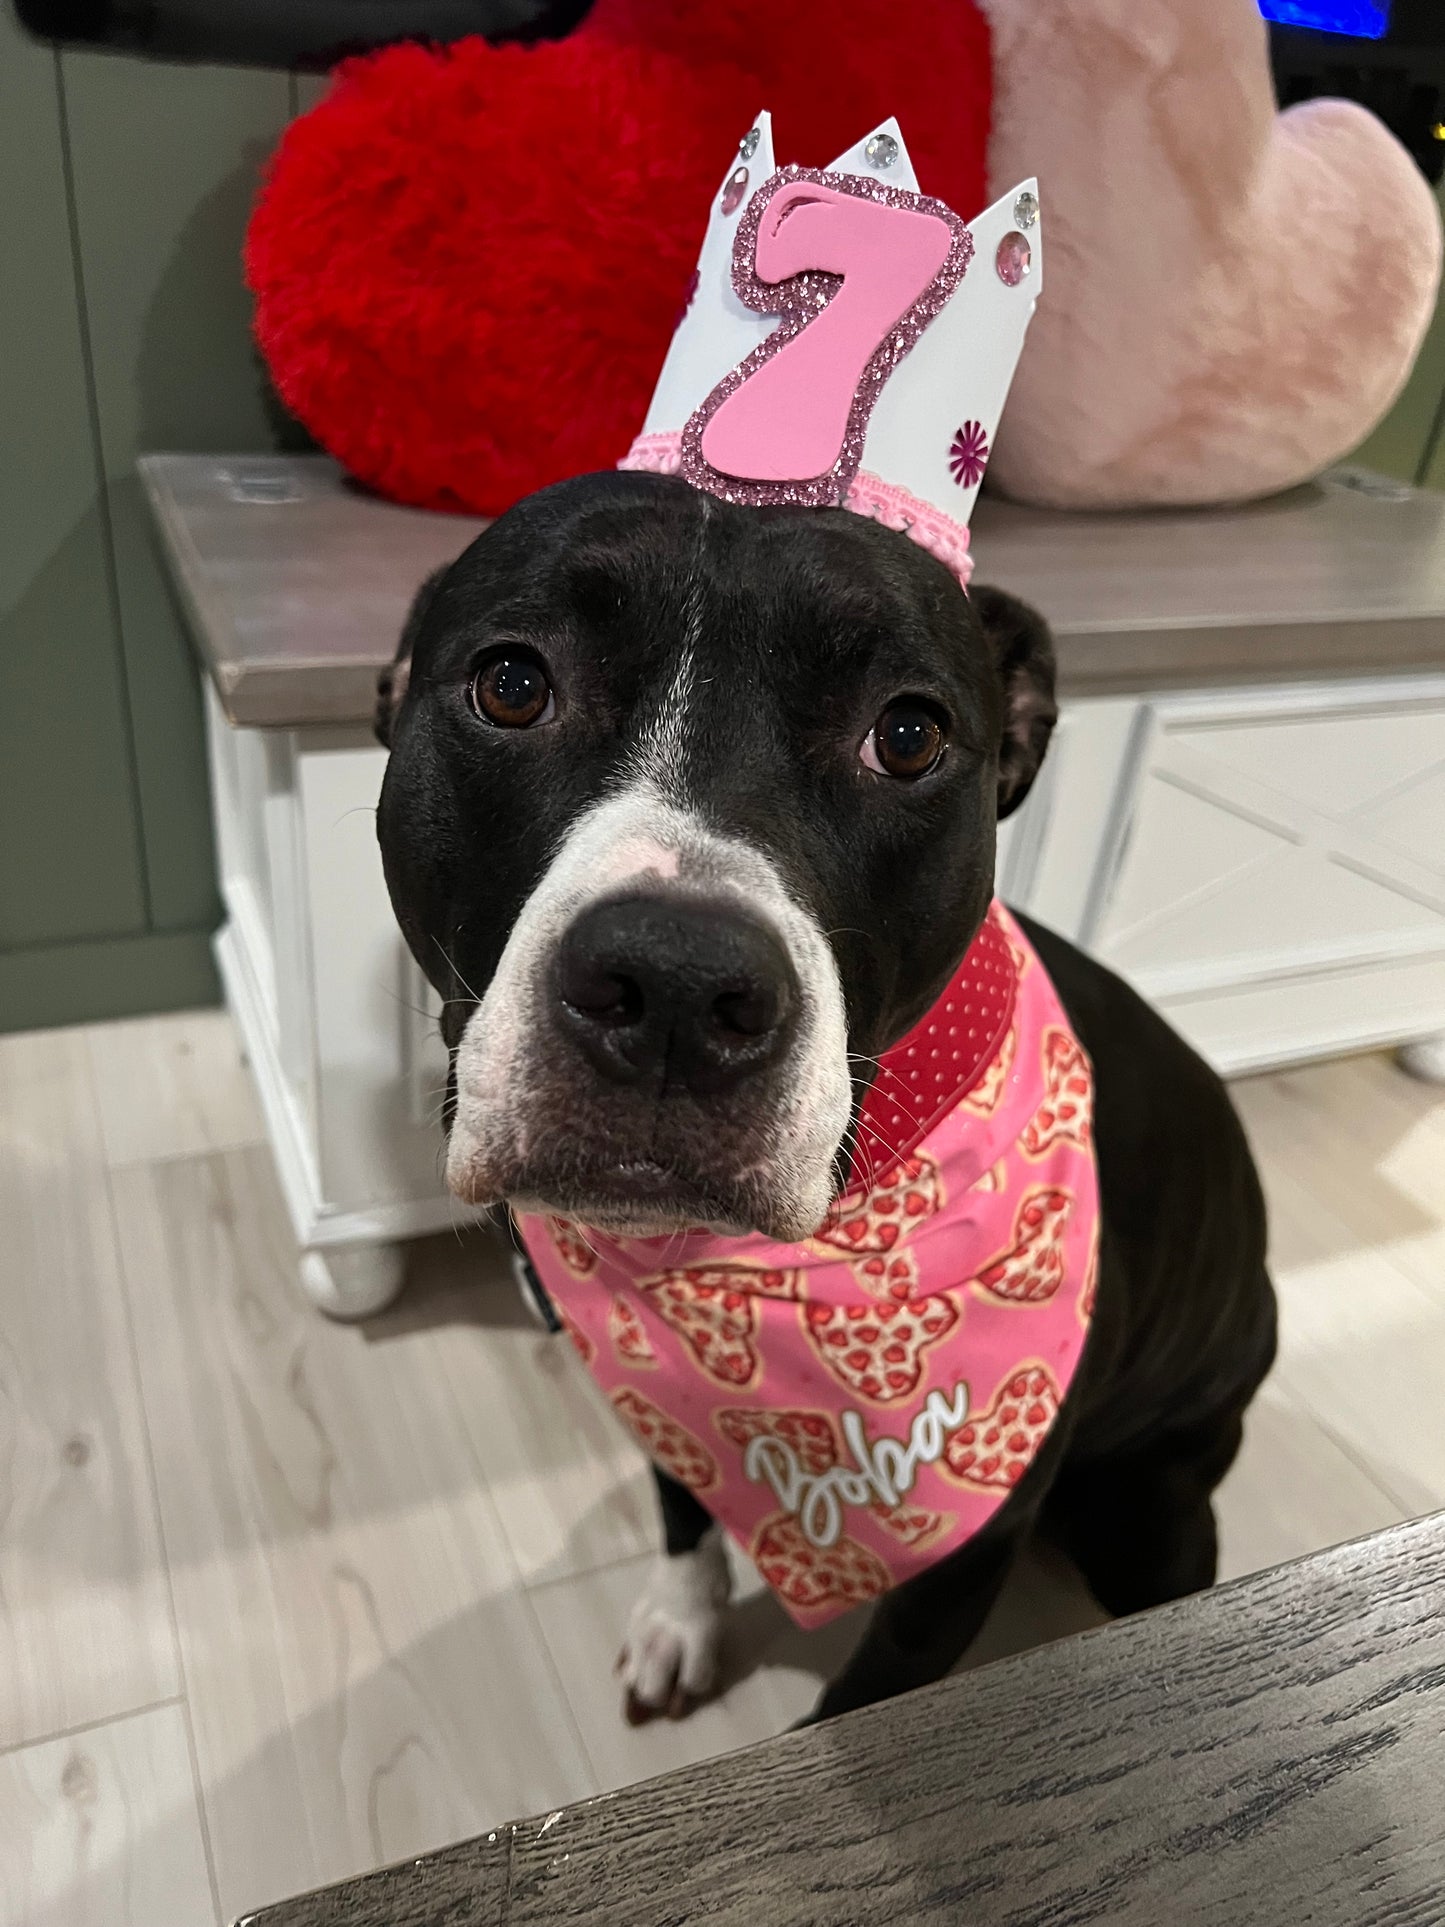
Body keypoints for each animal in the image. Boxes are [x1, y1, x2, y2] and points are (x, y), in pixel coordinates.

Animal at [375, 470, 1279, 1734]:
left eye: (906, 735)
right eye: (510, 683)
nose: (673, 984)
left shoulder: (954, 1562)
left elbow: (860, 1702)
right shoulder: (666, 1399)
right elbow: (681, 1507)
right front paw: (681, 1620)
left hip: (1154, 1517)